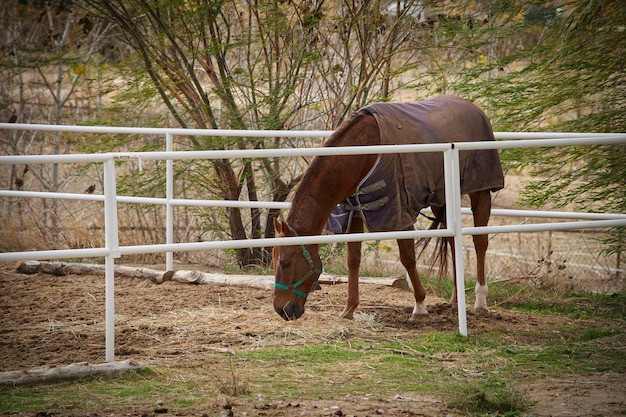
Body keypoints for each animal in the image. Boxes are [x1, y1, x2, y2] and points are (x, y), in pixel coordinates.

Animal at [272, 96, 502, 320]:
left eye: (285, 262)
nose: (282, 310)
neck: (363, 152)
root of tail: (476, 110)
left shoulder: (399, 214)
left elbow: (408, 258)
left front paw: (420, 305)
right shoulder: (354, 212)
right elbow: (353, 260)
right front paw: (349, 309)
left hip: (481, 193)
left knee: (480, 242)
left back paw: (481, 301)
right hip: (442, 199)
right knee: (453, 241)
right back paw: (455, 299)